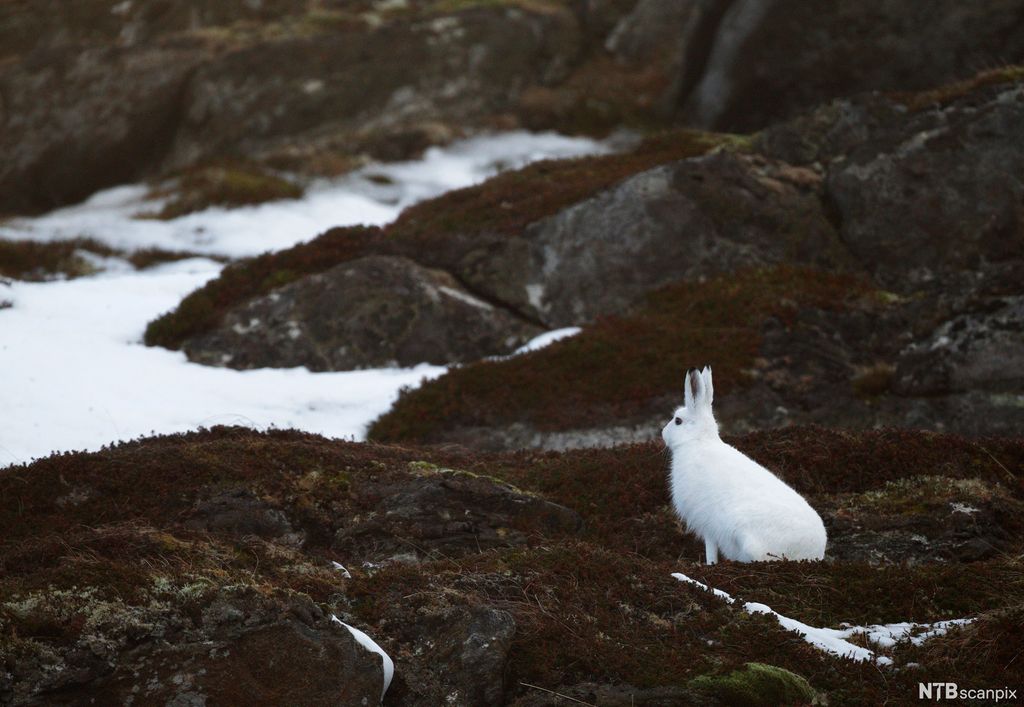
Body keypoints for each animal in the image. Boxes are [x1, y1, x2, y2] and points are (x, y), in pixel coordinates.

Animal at [662, 367, 827, 564]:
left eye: (678, 421)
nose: (663, 433)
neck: (698, 441)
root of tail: (813, 554)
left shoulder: (707, 522)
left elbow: (710, 549)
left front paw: (709, 565)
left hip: (746, 537)